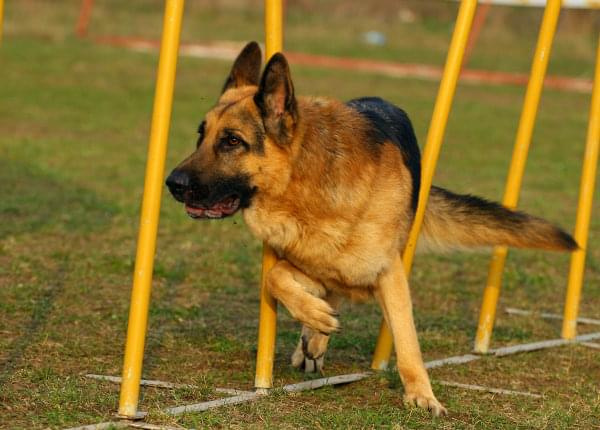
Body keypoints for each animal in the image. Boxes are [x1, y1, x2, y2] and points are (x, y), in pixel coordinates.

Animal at [166, 42, 580, 414]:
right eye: (201, 136)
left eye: (232, 141)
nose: (172, 183)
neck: (309, 188)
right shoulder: (314, 264)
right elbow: (277, 278)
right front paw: (313, 317)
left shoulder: (387, 272)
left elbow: (407, 339)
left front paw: (422, 395)